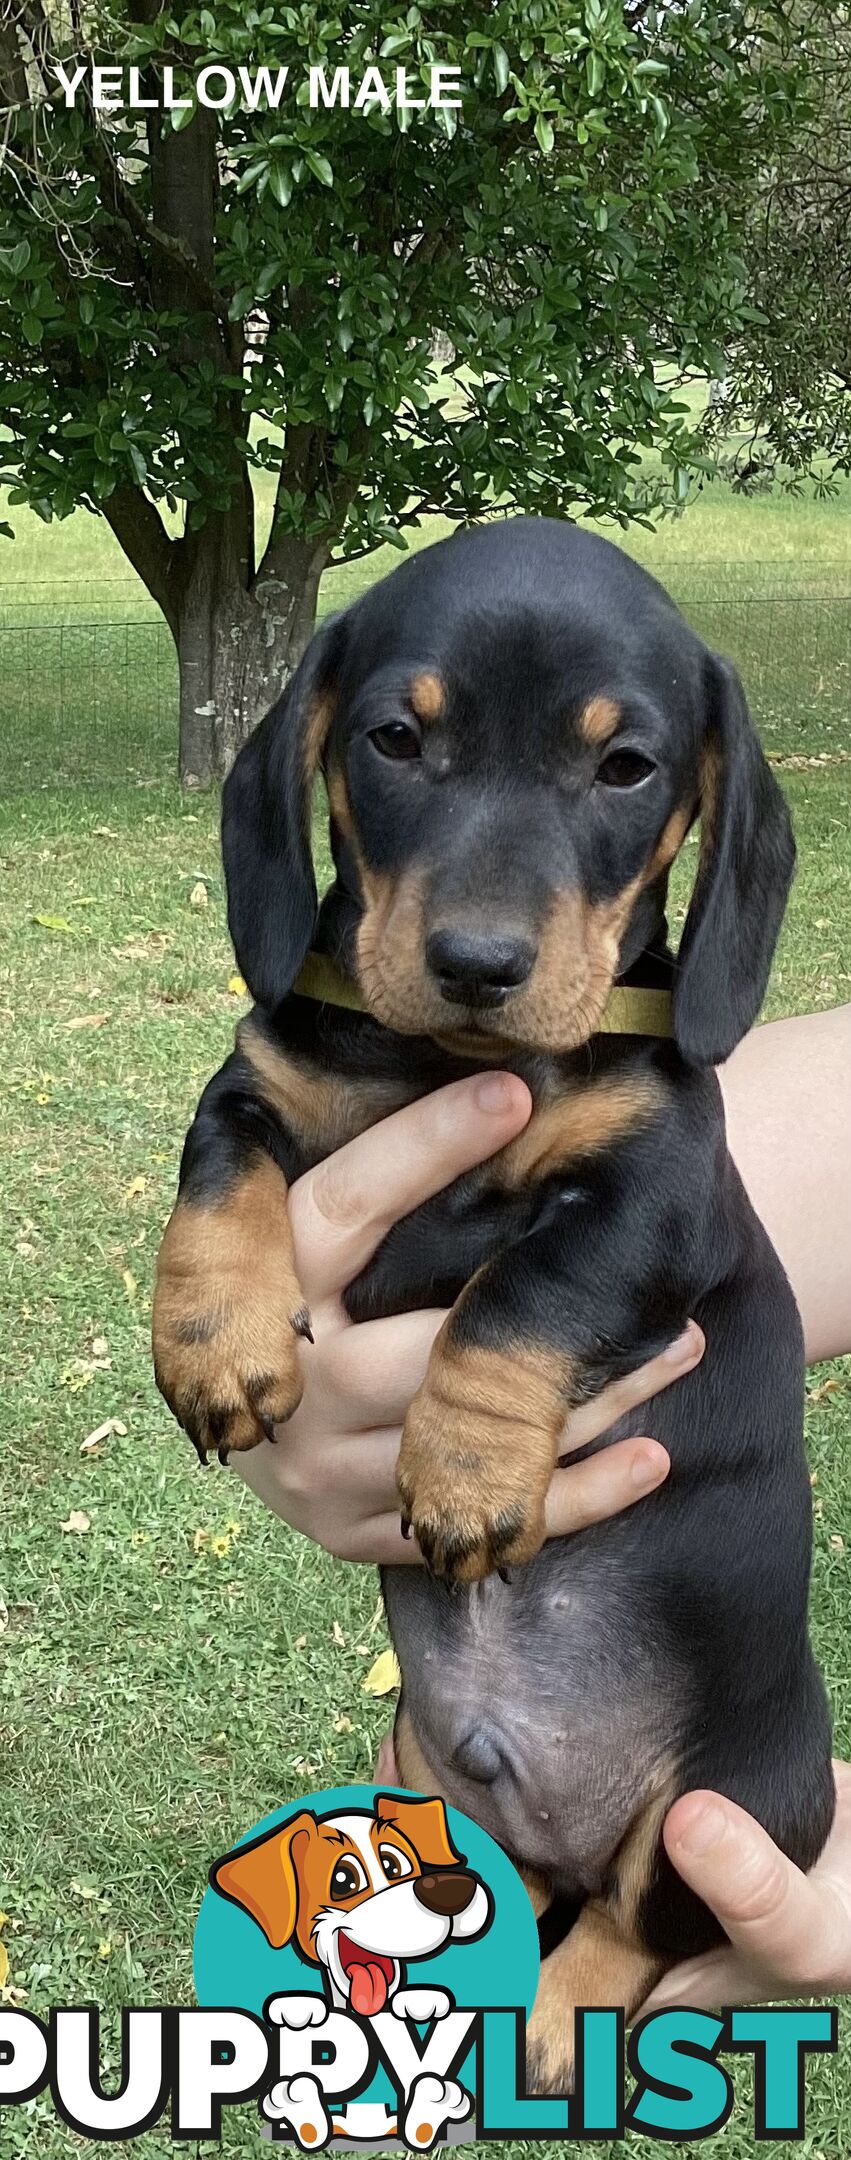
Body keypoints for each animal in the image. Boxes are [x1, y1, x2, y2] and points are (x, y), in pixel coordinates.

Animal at [151, 514, 829, 2082]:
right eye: (397, 739)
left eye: (624, 767)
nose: (475, 966)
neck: (435, 1066)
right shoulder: (259, 1086)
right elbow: (222, 1169)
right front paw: (214, 1342)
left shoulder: (651, 1194)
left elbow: (523, 1292)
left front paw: (461, 1469)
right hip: (425, 1777)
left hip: (732, 1809)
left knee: (628, 1927)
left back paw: (559, 2025)